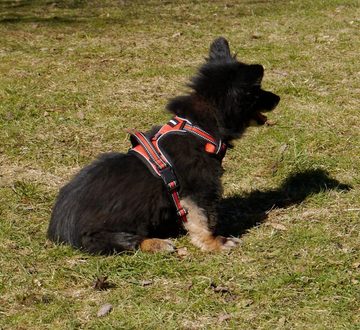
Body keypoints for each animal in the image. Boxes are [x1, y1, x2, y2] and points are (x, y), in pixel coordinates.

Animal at [46, 38, 280, 255]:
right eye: (259, 91)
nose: (278, 97)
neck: (199, 128)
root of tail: (59, 232)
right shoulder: (199, 189)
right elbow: (203, 219)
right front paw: (215, 243)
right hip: (102, 233)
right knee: (125, 241)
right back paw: (157, 243)